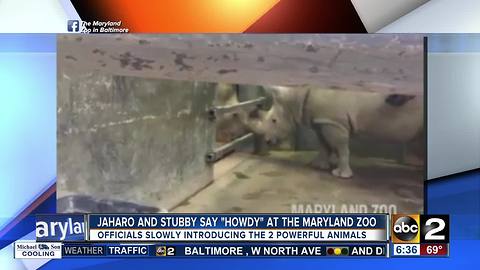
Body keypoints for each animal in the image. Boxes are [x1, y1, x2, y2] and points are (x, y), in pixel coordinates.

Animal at [238, 85, 422, 178]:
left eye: (274, 121)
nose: (268, 141)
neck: (296, 96)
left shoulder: (334, 121)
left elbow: (341, 147)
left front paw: (340, 174)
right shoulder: (322, 119)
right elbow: (323, 144)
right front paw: (318, 166)